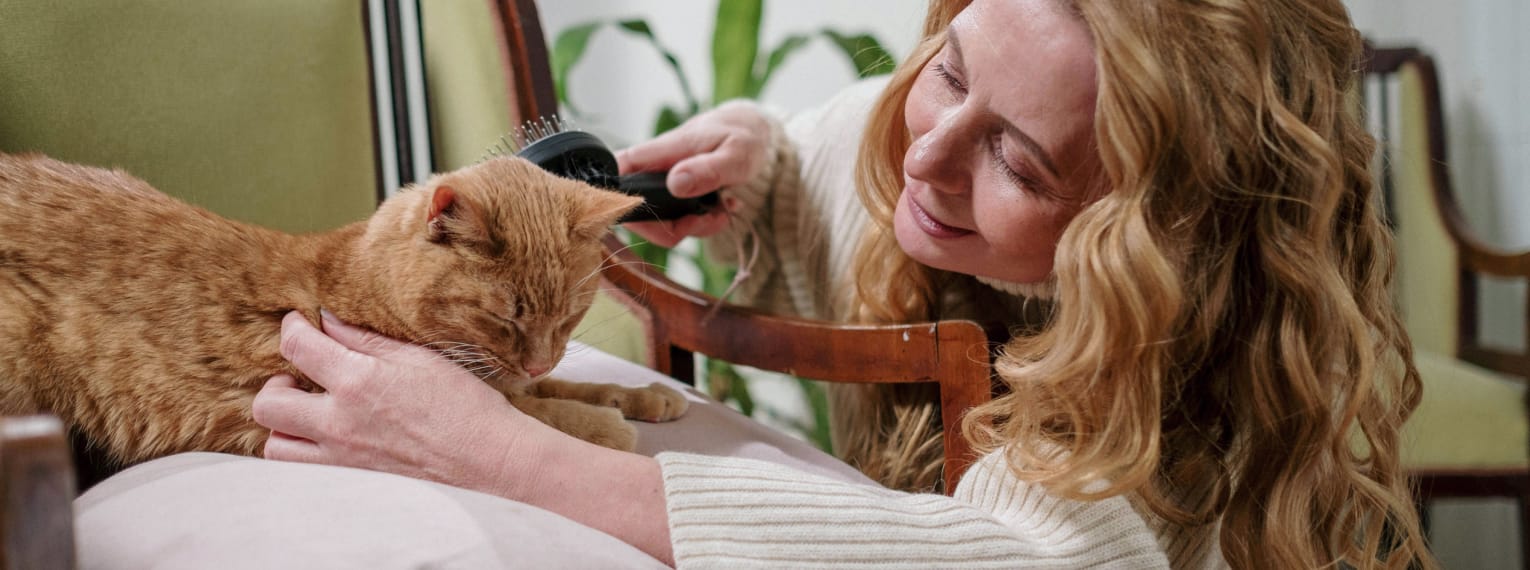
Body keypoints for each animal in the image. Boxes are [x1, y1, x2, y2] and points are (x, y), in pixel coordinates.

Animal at [0, 151, 688, 467]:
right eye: (505, 319)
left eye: (569, 317)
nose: (539, 360)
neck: (357, 282)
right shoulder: (490, 391)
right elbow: (545, 416)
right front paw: (610, 427)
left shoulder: (519, 379)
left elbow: (575, 387)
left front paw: (649, 397)